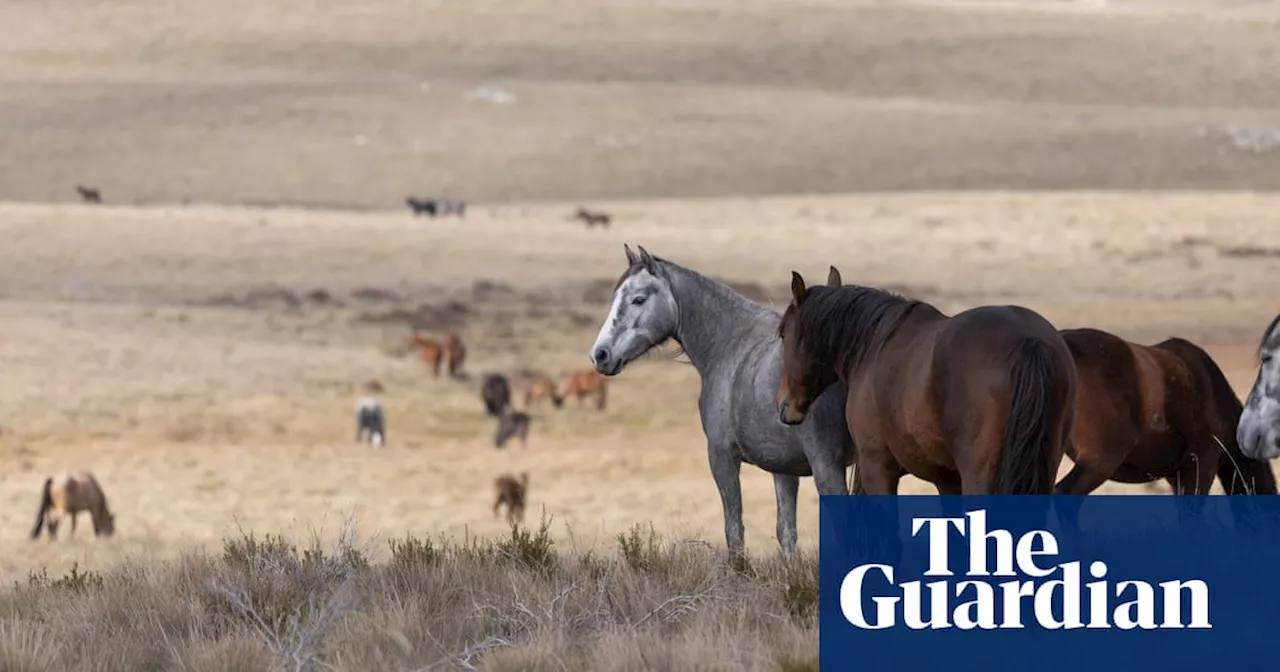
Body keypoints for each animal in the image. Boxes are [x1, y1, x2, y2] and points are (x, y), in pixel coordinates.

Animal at [591, 243, 860, 558]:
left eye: (638, 299)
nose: (600, 354)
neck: (730, 344)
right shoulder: (783, 469)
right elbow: (786, 532)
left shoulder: (722, 456)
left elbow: (734, 529)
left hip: (827, 466)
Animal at [773, 266, 1075, 491]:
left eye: (783, 333)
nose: (784, 405)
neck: (874, 343)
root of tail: (1028, 342)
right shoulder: (948, 479)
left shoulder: (876, 467)